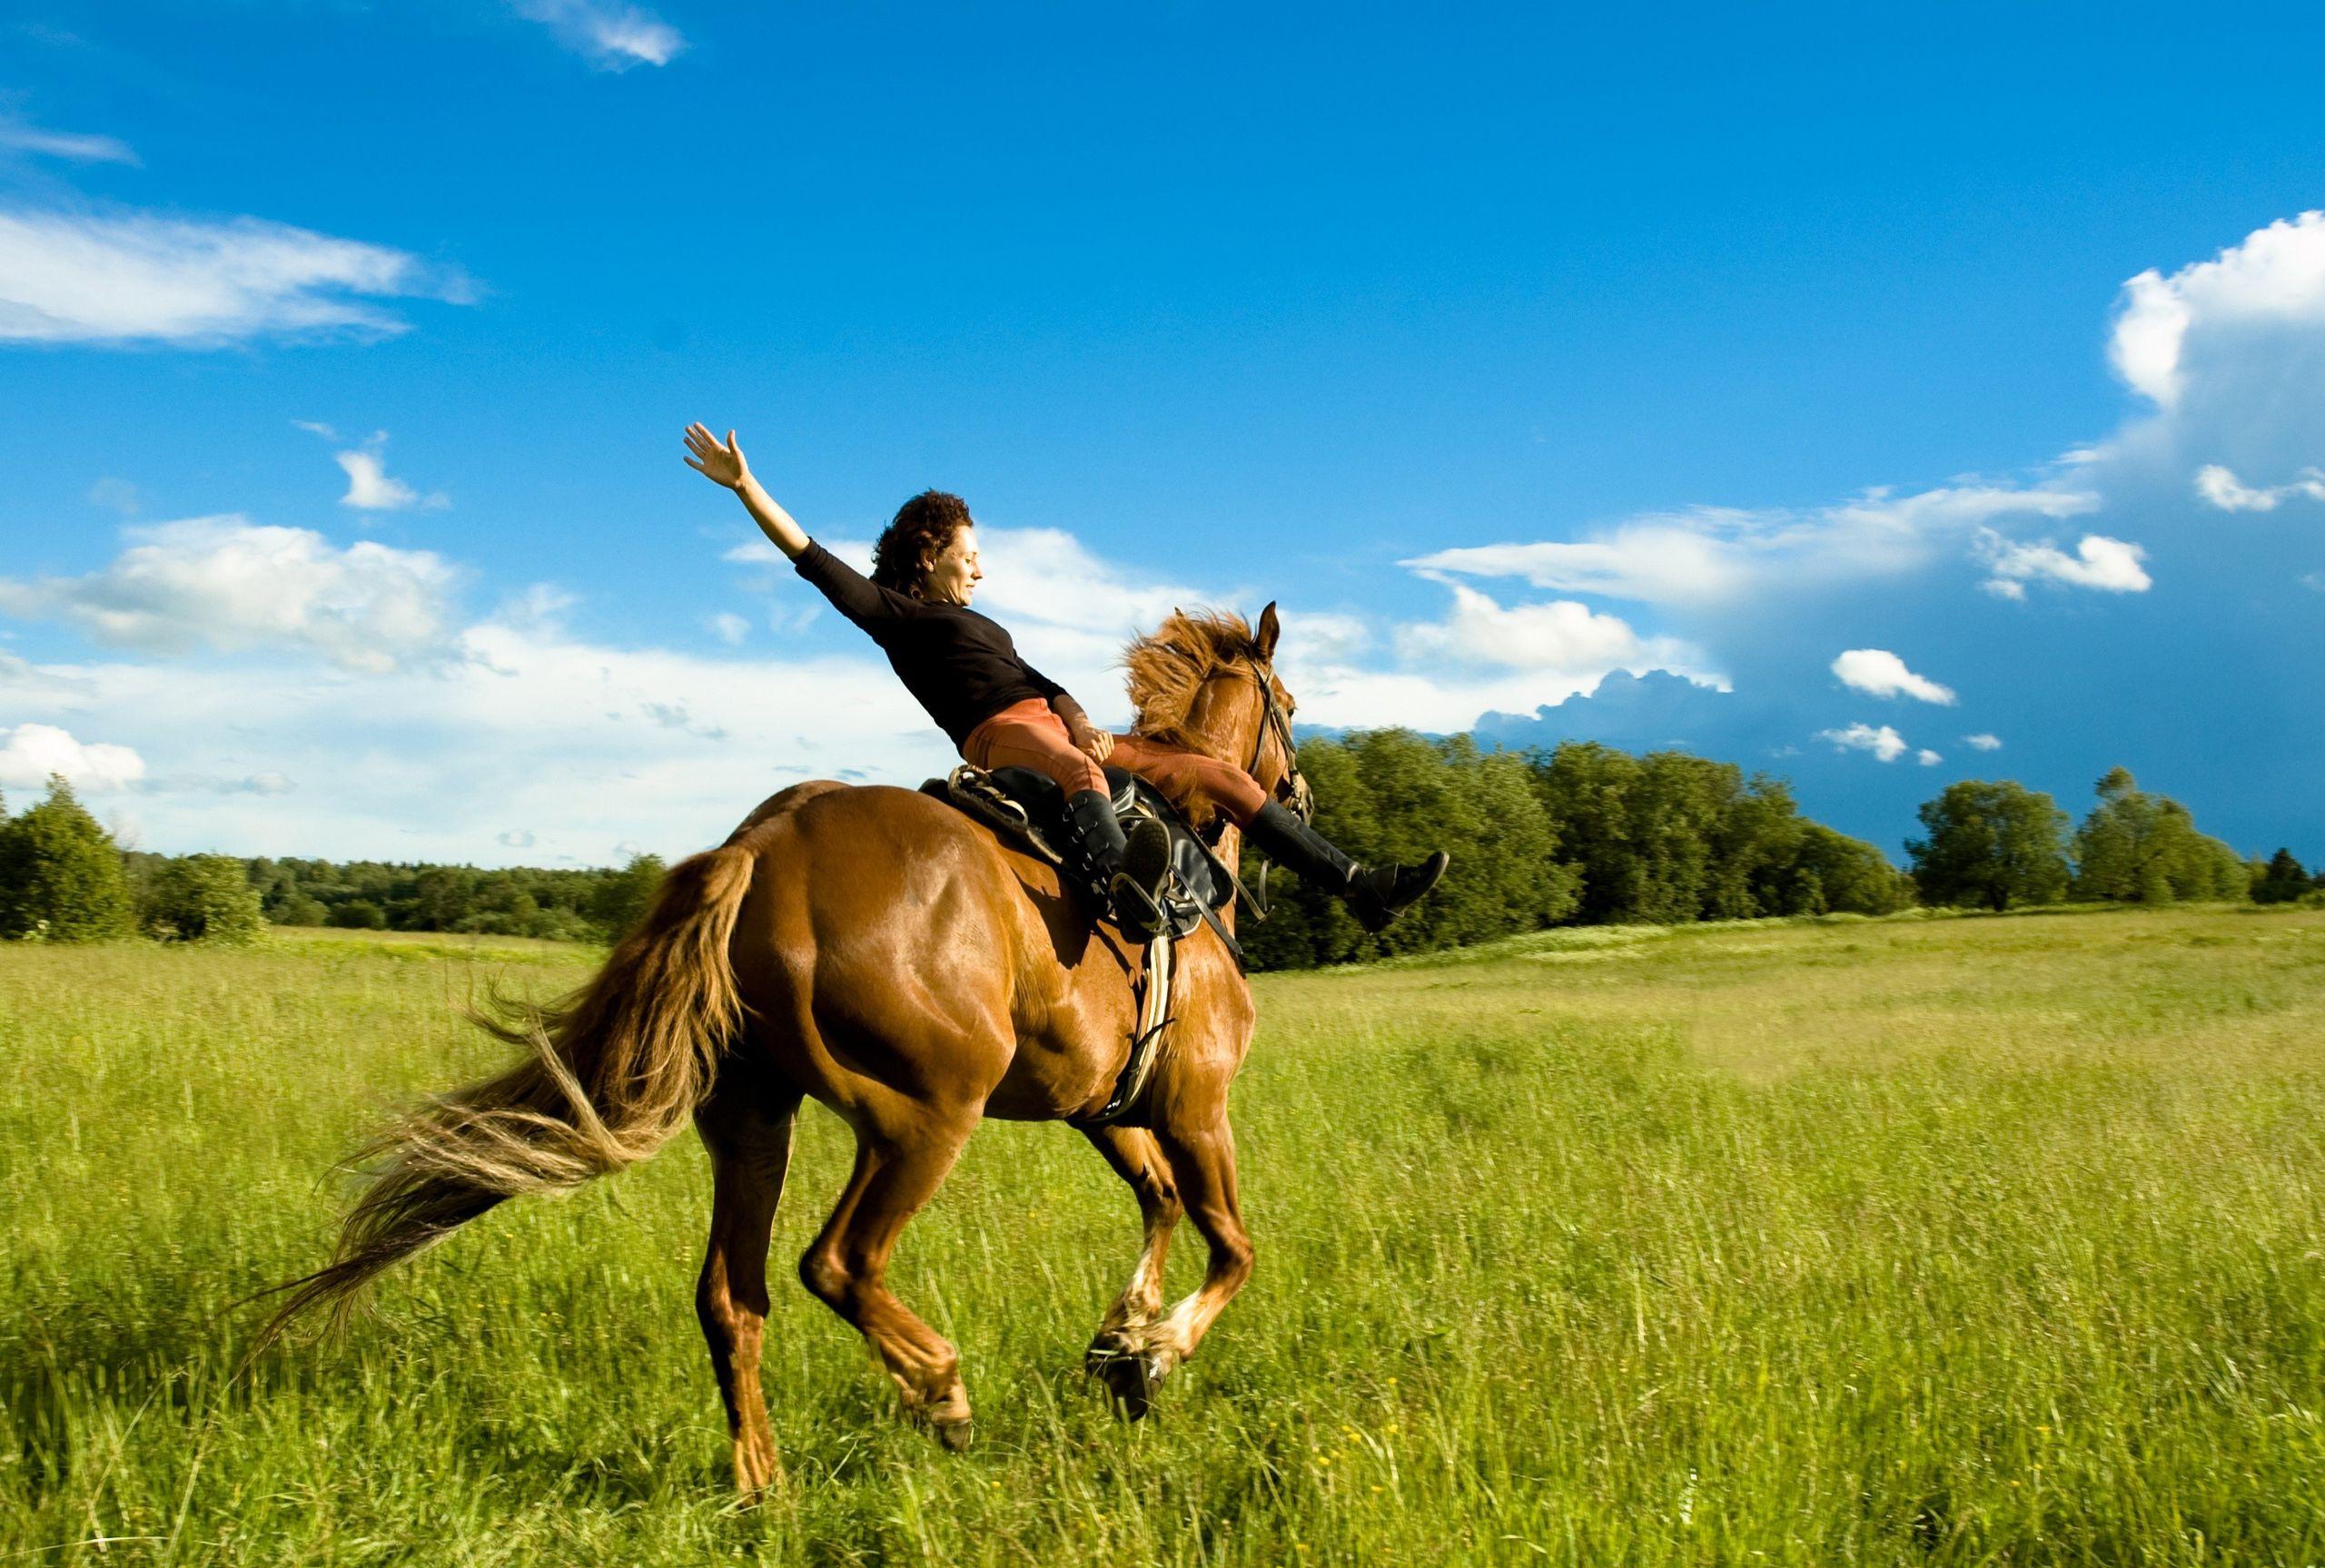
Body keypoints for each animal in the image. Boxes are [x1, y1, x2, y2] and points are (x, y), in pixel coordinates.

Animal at [257, 603, 1308, 1495]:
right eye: (1291, 709)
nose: (1296, 789)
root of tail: (760, 848)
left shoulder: (1105, 1107)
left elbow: (1160, 1202)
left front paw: (1122, 1340)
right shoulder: (1194, 1105)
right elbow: (1233, 1245)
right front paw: (1155, 1350)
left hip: (753, 1121)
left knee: (732, 1296)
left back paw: (762, 1481)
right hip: (921, 1119)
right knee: (835, 1262)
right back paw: (940, 1389)